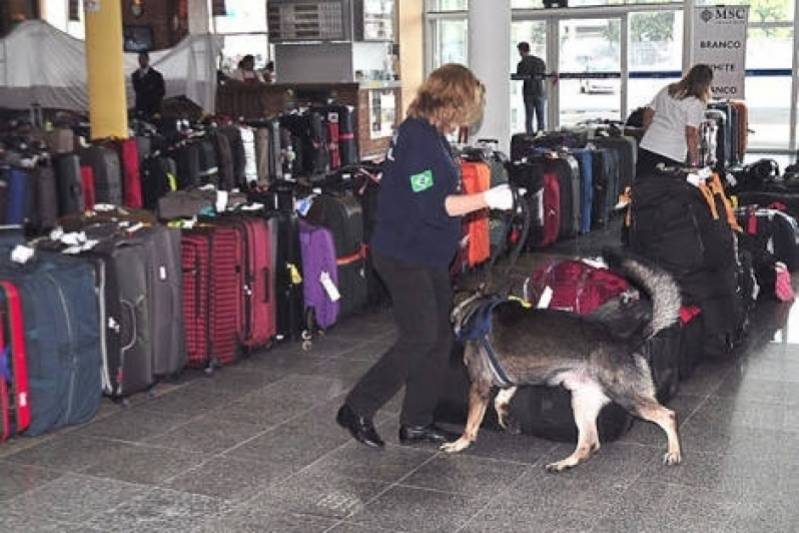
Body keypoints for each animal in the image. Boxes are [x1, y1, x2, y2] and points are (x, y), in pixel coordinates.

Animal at [444, 249, 680, 470]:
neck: (474, 307)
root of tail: (627, 339)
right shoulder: (510, 380)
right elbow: (499, 401)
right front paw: (506, 420)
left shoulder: (479, 385)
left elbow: (471, 424)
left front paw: (459, 443)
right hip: (582, 401)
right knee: (589, 443)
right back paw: (563, 464)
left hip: (626, 396)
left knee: (668, 416)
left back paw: (674, 452)